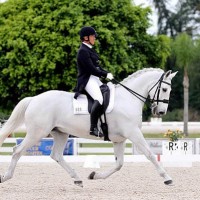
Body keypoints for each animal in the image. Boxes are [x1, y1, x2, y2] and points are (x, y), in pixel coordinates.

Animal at [0, 68, 177, 187]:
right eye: (164, 89)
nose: (160, 112)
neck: (128, 98)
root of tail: (34, 99)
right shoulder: (133, 133)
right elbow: (150, 154)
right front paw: (167, 178)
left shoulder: (119, 139)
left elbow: (119, 164)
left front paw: (95, 175)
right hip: (37, 133)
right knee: (17, 151)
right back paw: (5, 177)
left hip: (60, 133)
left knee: (56, 155)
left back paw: (77, 178)